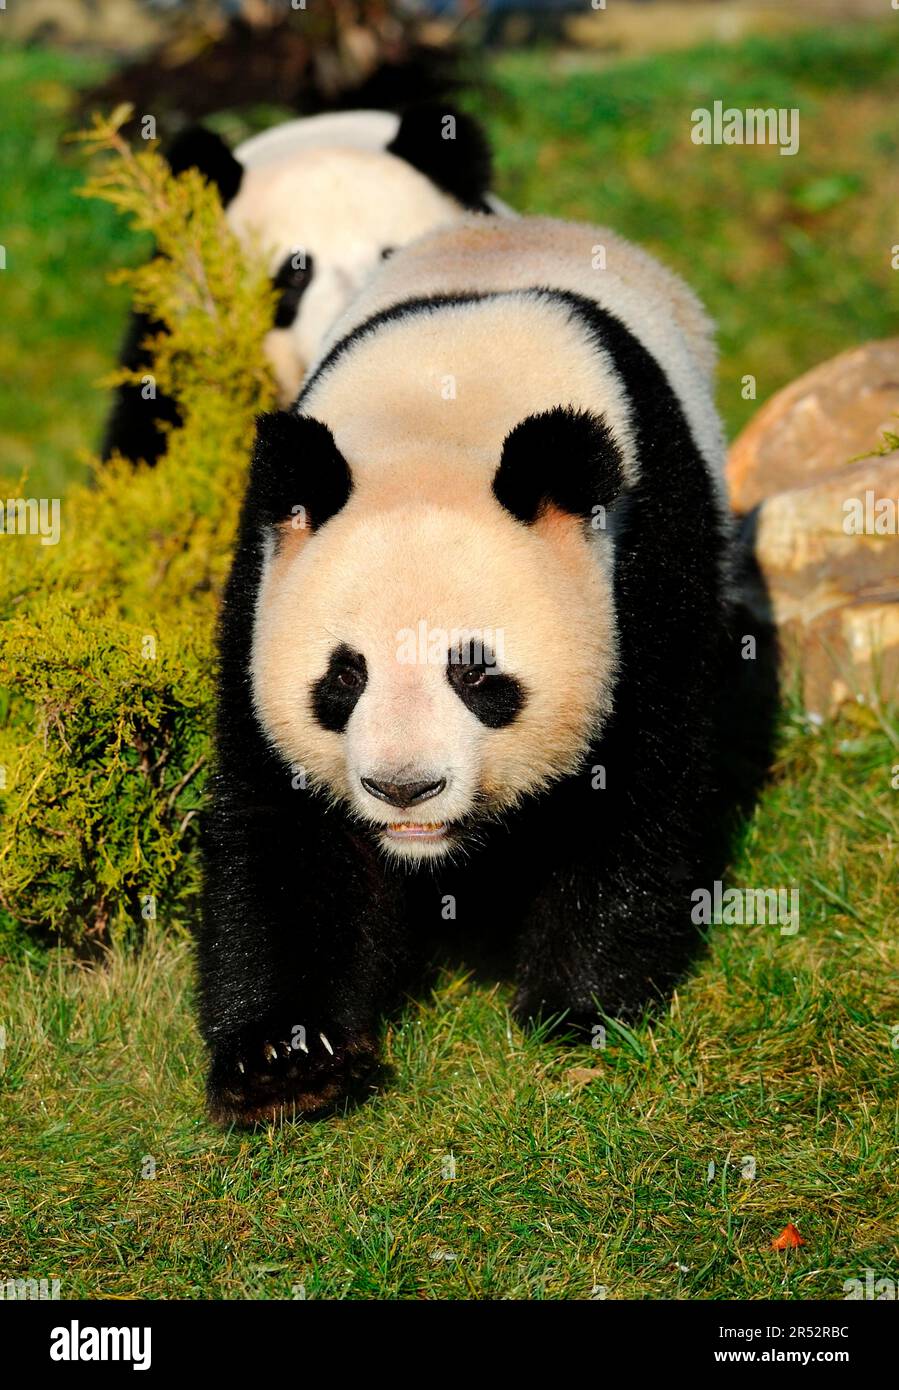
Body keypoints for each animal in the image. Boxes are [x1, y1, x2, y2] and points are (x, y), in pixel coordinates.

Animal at [198, 213, 738, 1126]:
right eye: (343, 678)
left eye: (476, 674)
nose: (403, 789)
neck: (442, 412)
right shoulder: (263, 573)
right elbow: (281, 824)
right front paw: (283, 1060)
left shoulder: (643, 553)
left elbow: (639, 777)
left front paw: (575, 1006)